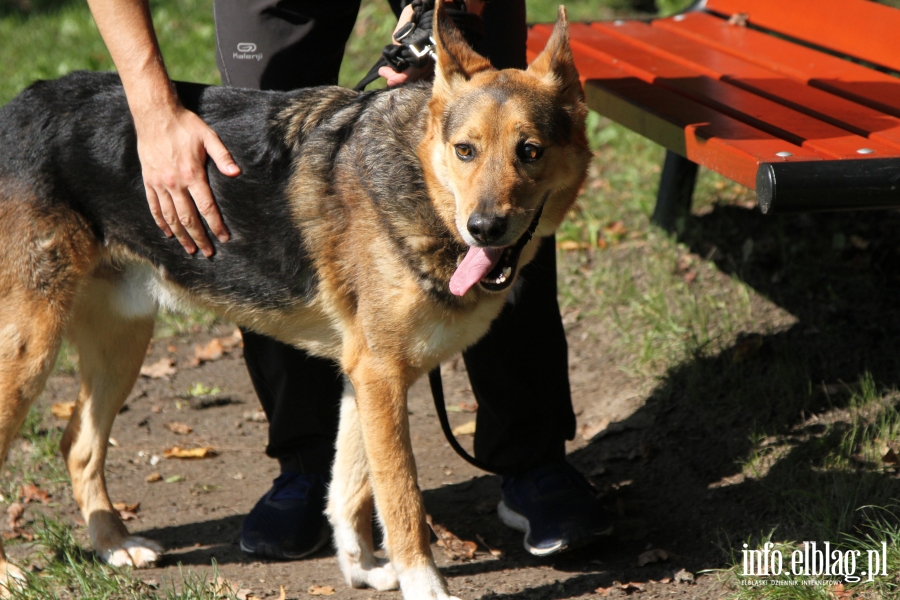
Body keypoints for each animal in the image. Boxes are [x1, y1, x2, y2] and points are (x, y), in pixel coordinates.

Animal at [0, 5, 592, 600]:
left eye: (530, 152)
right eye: (465, 150)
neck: (420, 183)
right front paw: (423, 586)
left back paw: (112, 544)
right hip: (30, 351)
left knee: (77, 443)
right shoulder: (381, 376)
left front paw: (359, 569)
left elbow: (349, 489)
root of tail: (16, 106)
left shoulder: (365, 374)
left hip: (122, 341)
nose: (484, 228)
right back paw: (13, 572)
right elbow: (401, 501)